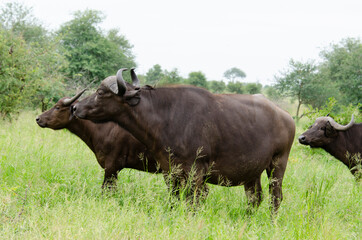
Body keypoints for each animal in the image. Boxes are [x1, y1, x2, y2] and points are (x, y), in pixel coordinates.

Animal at [72, 67, 296, 212]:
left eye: (101, 92)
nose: (75, 107)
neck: (167, 118)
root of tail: (286, 117)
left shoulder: (195, 172)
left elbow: (192, 202)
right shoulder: (169, 171)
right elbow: (174, 199)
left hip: (277, 165)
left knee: (275, 197)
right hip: (253, 171)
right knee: (254, 198)